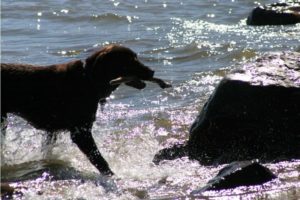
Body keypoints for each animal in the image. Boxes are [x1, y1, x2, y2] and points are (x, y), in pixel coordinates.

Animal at [1, 45, 171, 175]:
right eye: (129, 61)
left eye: (136, 57)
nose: (152, 71)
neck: (88, 80)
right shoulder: (81, 132)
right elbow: (100, 160)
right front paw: (113, 176)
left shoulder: (52, 131)